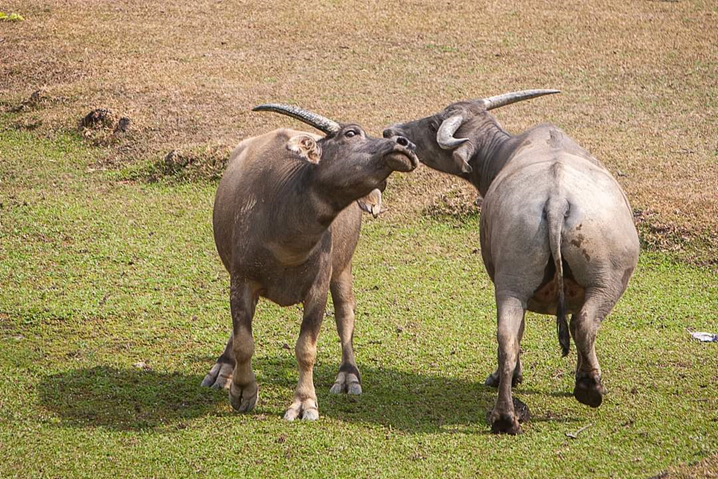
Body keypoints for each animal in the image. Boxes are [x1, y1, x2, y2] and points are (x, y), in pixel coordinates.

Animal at [200, 105, 420, 420]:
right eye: (351, 133)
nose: (406, 145)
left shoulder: (317, 290)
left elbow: (306, 349)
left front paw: (304, 403)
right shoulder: (241, 280)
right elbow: (244, 341)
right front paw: (242, 390)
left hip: (343, 269)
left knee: (345, 315)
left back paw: (348, 376)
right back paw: (221, 370)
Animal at [386, 90, 644, 436]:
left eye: (430, 124)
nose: (392, 133)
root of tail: (557, 199)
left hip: (515, 286)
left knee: (509, 338)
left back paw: (505, 416)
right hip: (603, 283)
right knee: (583, 324)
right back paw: (588, 388)